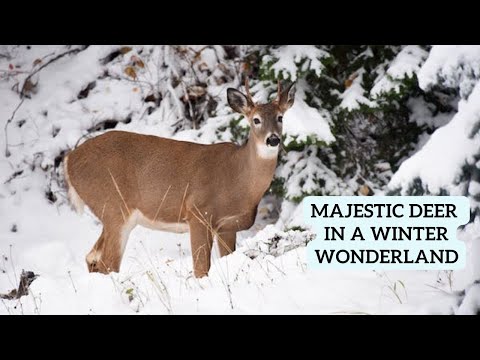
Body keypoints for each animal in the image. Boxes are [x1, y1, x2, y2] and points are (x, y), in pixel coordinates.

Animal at [63, 79, 296, 278]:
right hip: (113, 206)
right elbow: (201, 269)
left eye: (280, 117)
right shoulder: (198, 212)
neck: (239, 182)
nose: (273, 139)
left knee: (92, 257)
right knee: (108, 264)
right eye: (256, 120)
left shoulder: (227, 227)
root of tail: (69, 160)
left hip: (111, 213)